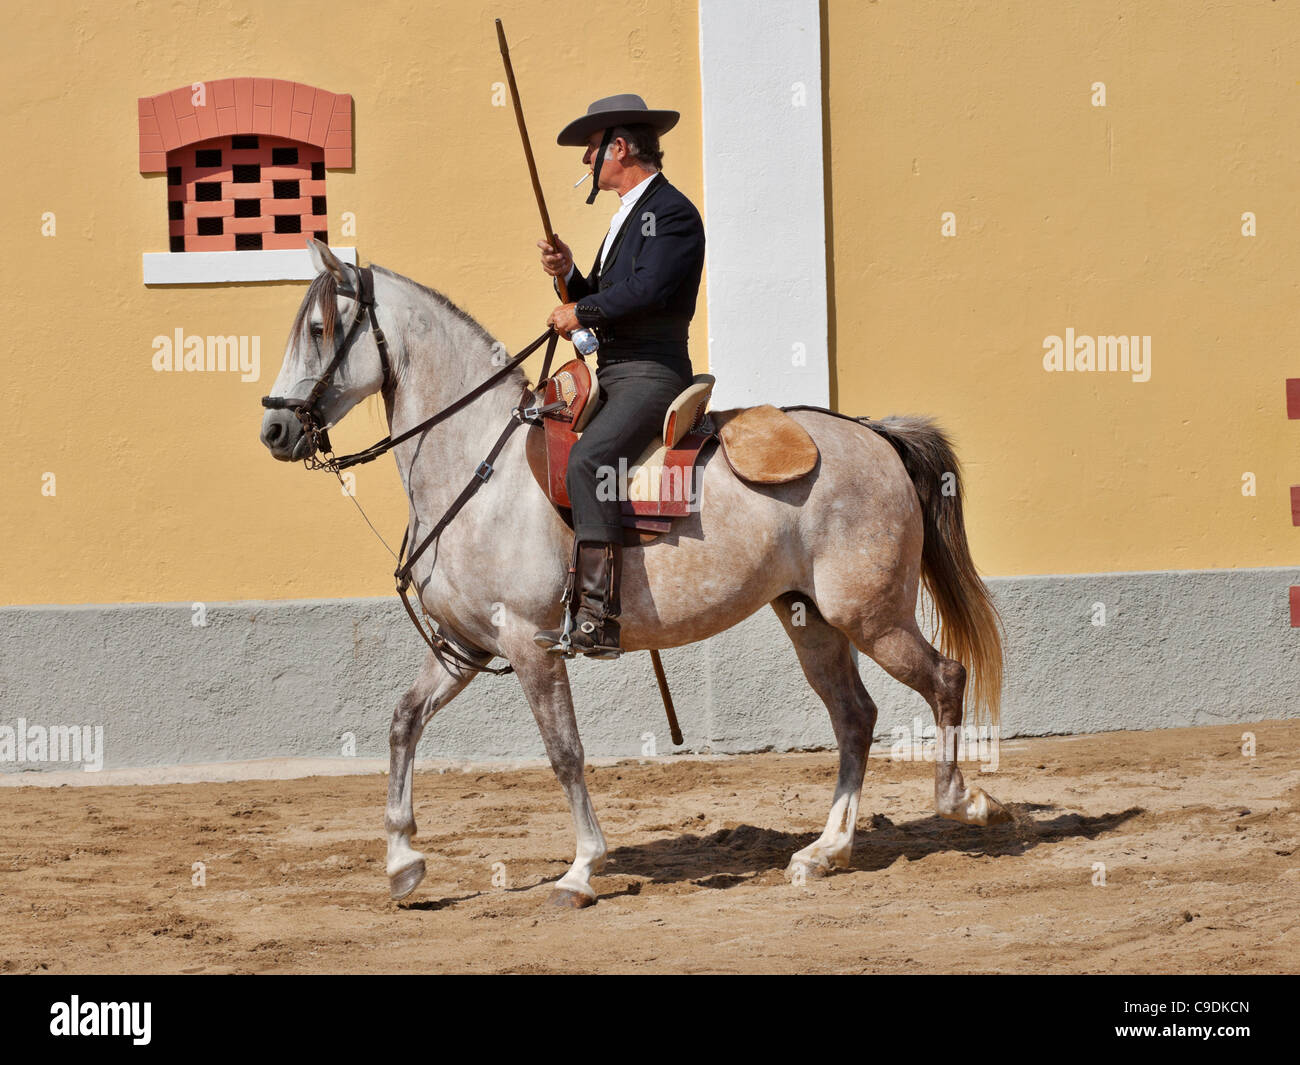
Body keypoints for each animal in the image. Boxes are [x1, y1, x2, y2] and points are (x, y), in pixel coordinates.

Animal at [261, 241, 1003, 910]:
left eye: (320, 329)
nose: (274, 431)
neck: (480, 465)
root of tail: (874, 433)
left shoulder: (529, 644)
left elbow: (564, 751)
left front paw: (581, 870)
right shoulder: (464, 645)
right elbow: (403, 722)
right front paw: (402, 862)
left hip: (871, 616)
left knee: (944, 677)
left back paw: (964, 800)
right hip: (810, 618)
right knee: (855, 716)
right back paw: (827, 850)